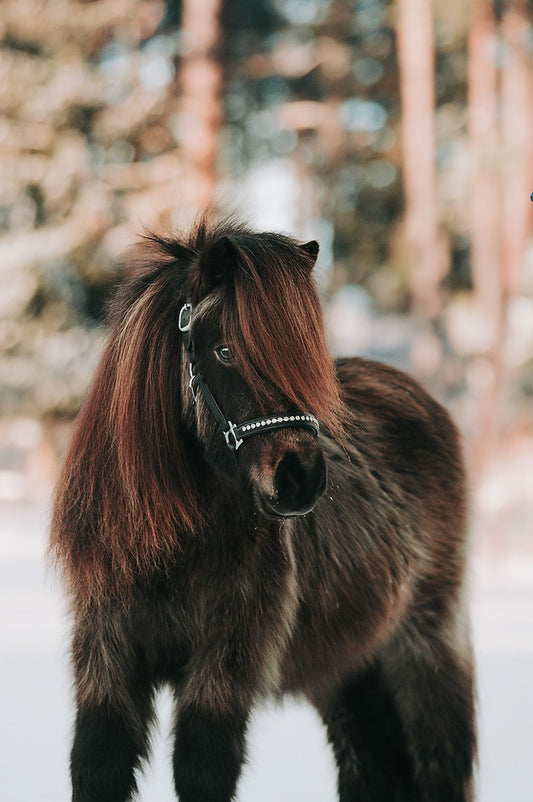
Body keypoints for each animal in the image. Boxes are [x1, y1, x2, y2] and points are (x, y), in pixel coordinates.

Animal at [50, 219, 474, 800]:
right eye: (226, 350)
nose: (302, 480)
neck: (167, 548)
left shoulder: (223, 669)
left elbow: (203, 771)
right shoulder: (106, 665)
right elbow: (97, 764)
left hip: (423, 642)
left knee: (439, 758)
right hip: (343, 667)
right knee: (369, 765)